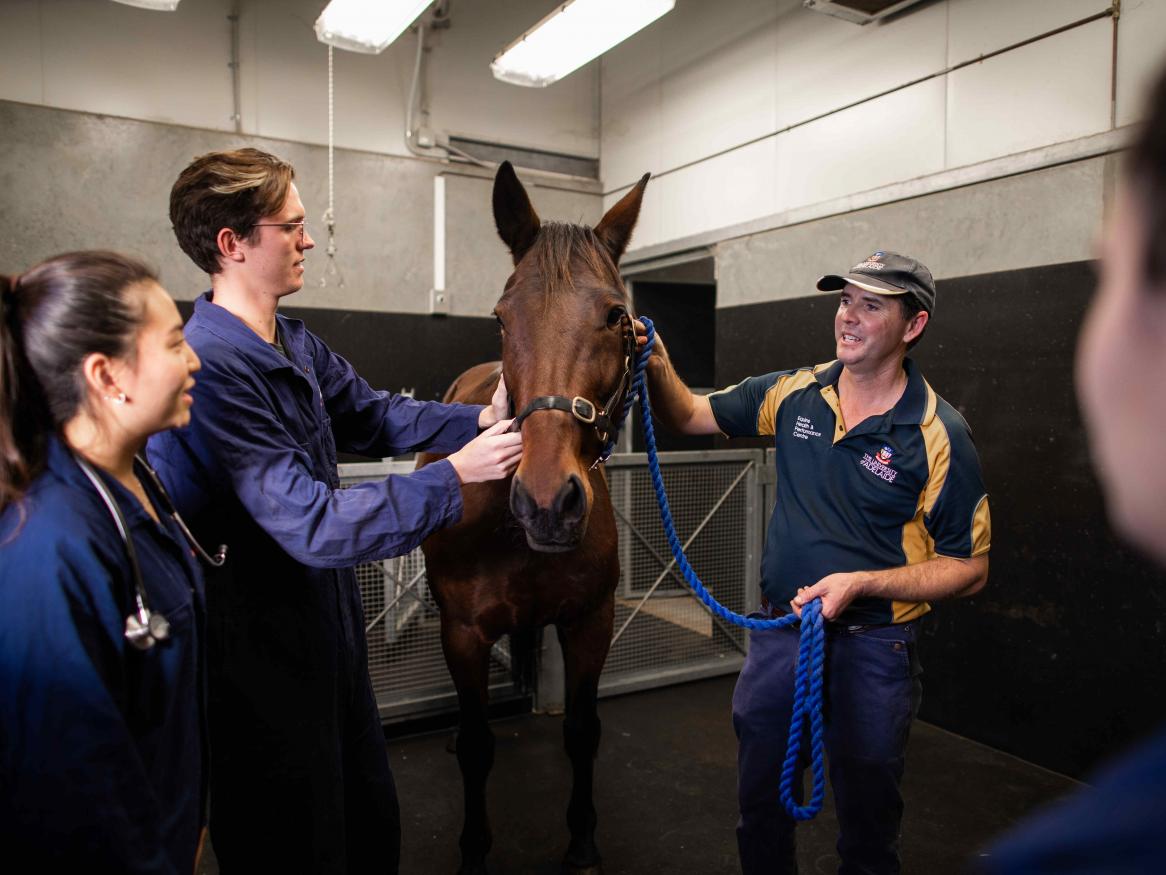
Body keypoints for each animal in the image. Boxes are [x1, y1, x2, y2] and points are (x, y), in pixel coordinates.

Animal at [419, 164, 652, 875]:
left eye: (616, 314)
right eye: (501, 315)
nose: (548, 500)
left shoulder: (590, 622)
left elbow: (582, 731)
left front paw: (582, 842)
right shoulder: (463, 632)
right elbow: (475, 744)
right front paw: (473, 850)